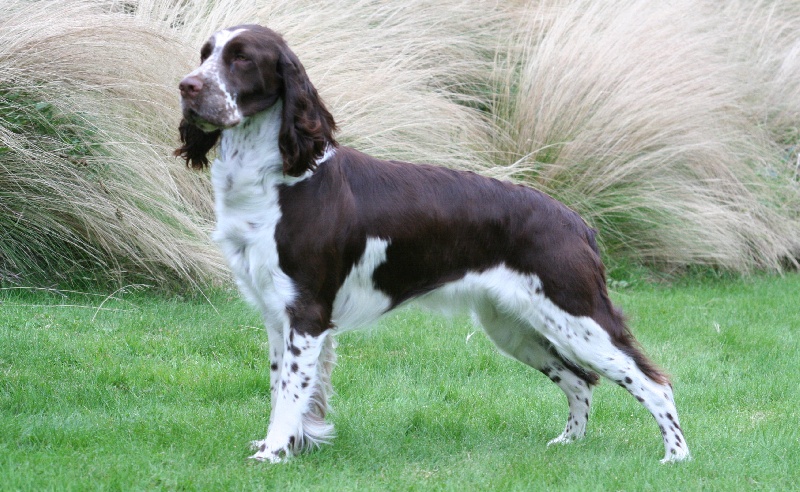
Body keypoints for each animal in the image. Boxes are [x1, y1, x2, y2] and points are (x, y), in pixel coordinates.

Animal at [175, 24, 688, 466]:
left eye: (241, 58)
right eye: (204, 54)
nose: (186, 86)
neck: (282, 178)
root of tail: (576, 221)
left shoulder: (307, 312)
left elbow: (289, 393)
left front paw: (274, 453)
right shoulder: (276, 312)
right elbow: (285, 386)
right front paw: (293, 444)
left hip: (578, 316)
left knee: (652, 382)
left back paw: (676, 457)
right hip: (515, 326)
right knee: (581, 381)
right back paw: (568, 442)